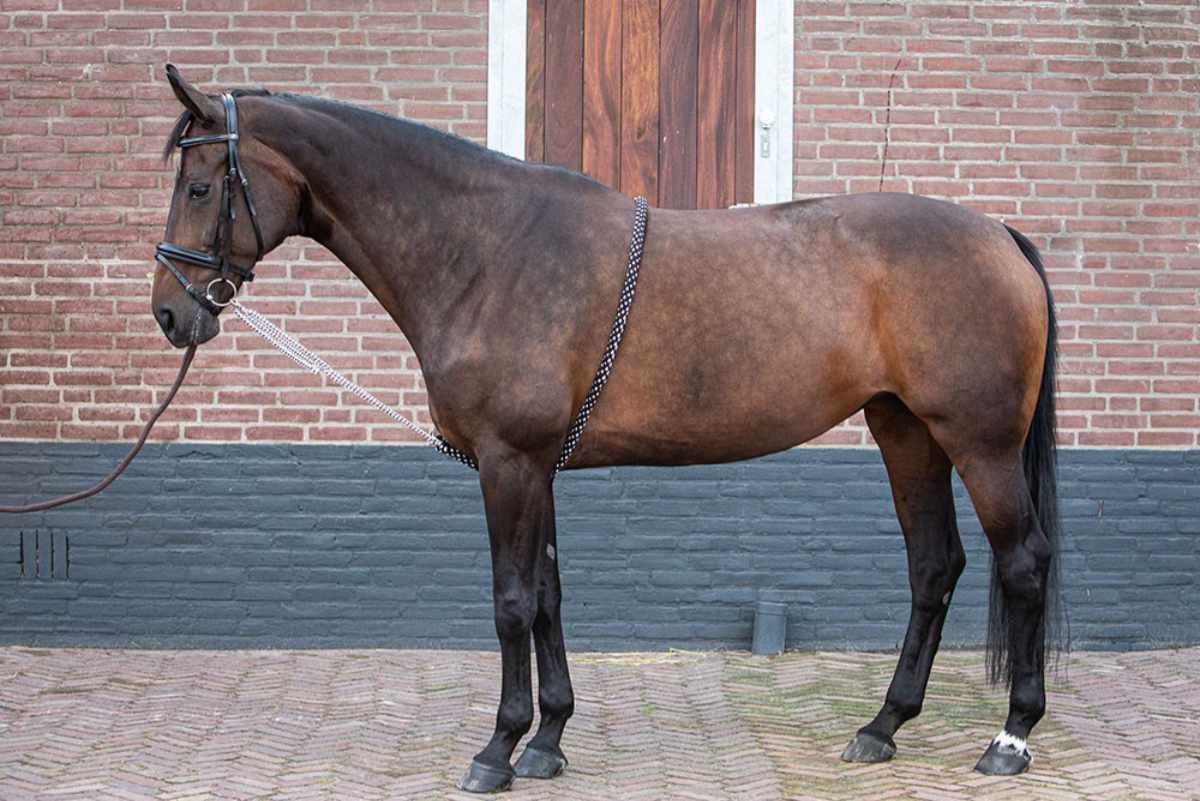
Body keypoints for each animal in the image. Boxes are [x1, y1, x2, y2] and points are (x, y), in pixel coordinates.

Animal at [151, 64, 1062, 791]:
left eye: (199, 186)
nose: (169, 313)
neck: (488, 250)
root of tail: (999, 233)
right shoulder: (535, 463)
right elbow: (550, 595)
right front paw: (548, 739)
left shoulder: (508, 462)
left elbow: (512, 601)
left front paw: (497, 749)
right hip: (906, 433)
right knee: (934, 565)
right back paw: (881, 726)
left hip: (978, 444)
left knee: (1023, 561)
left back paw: (1010, 737)